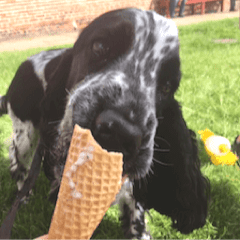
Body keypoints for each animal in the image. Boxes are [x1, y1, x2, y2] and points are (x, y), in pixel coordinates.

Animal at [0, 7, 210, 240]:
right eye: (99, 46)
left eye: (166, 86)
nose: (120, 132)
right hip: (24, 133)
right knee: (17, 159)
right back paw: (24, 195)